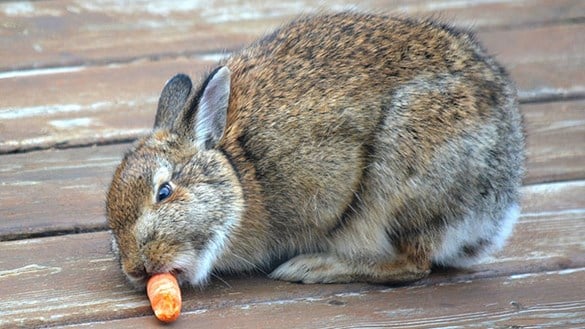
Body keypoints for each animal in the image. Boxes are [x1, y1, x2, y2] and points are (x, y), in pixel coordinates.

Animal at [105, 11, 524, 286]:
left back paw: (312, 268)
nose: (136, 268)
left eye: (164, 192)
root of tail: (497, 209)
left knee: (412, 263)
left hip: (404, 182)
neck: (240, 170)